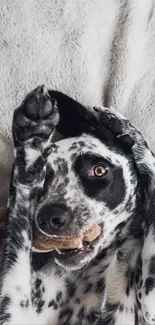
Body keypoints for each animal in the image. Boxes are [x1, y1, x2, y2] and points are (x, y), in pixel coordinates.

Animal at [0, 86, 155, 324]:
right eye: (45, 177)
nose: (50, 218)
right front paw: (31, 141)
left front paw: (131, 134)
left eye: (98, 170)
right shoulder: (14, 310)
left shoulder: (149, 303)